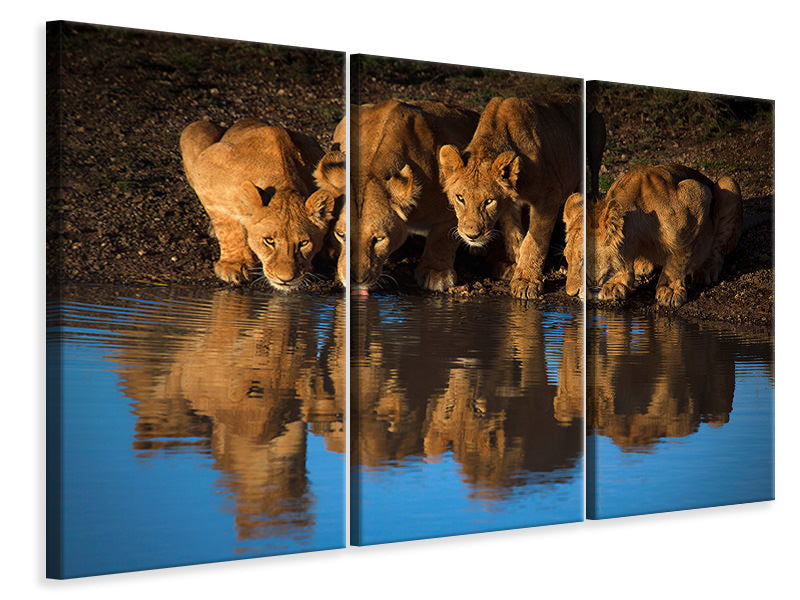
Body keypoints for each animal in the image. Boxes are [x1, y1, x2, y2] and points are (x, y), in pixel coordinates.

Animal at [180, 119, 336, 290]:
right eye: (269, 241)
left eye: (304, 243)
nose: (285, 279)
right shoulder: (205, 169)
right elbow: (228, 227)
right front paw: (234, 265)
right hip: (194, 129)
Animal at [438, 96, 581, 299]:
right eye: (460, 198)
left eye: (488, 201)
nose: (472, 235)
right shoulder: (508, 204)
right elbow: (514, 235)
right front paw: (515, 267)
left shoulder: (549, 194)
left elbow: (534, 240)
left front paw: (526, 281)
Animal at [587, 164, 742, 307]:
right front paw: (616, 282)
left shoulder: (697, 195)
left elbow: (678, 256)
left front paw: (670, 289)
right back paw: (642, 264)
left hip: (728, 184)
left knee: (718, 246)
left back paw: (706, 269)